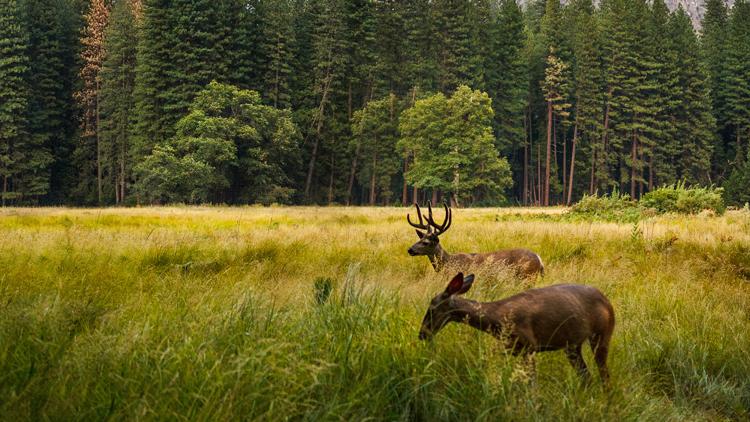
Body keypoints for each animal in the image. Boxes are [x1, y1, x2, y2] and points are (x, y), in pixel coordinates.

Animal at [408, 203, 544, 278]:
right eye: (420, 238)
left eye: (426, 242)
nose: (410, 250)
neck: (448, 263)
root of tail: (539, 259)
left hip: (528, 276)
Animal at [420, 272, 612, 384]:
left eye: (432, 308)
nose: (422, 334)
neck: (497, 319)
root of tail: (607, 300)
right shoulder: (512, 349)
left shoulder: (529, 346)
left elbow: (531, 384)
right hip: (572, 346)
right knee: (586, 376)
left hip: (602, 334)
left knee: (604, 374)